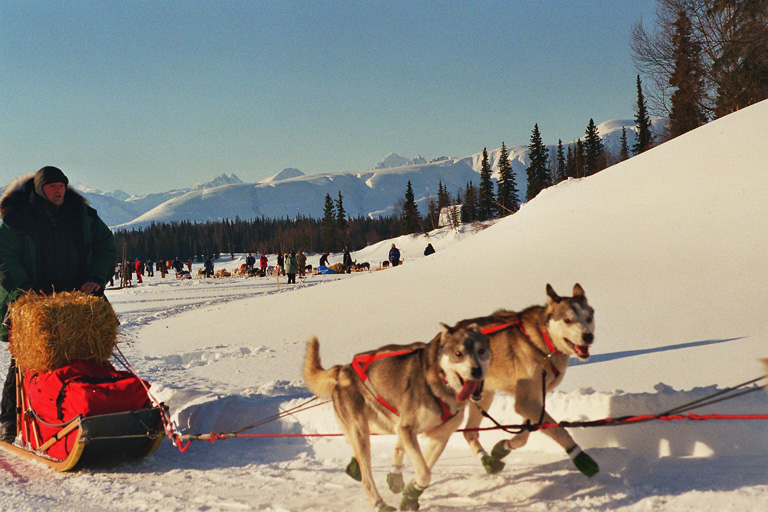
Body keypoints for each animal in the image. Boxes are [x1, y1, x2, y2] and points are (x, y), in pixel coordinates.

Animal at [304, 324, 488, 512]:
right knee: (367, 476)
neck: (441, 382)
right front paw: (412, 490)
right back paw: (380, 503)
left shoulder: (440, 436)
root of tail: (342, 370)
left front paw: (411, 493)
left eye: (481, 351)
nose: (477, 371)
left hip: (381, 422)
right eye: (458, 353)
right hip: (363, 430)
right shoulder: (408, 429)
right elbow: (425, 473)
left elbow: (424, 468)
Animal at [456, 284, 600, 476]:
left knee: (469, 432)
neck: (544, 344)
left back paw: (488, 461)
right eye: (567, 320)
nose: (588, 336)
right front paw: (579, 456)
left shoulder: (534, 399)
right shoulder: (525, 402)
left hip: (485, 396)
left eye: (588, 318)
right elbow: (558, 429)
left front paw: (504, 446)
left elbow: (527, 432)